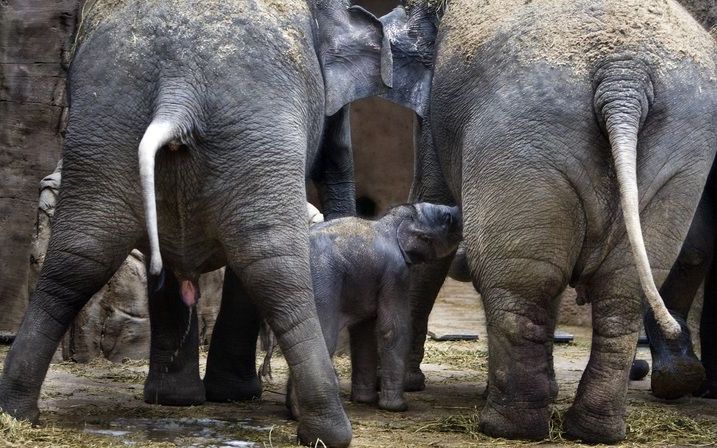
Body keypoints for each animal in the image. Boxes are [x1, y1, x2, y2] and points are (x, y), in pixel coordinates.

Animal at [0, 0, 398, 444]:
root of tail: (178, 94)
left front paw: (177, 399)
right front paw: (228, 395)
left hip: (101, 135)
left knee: (75, 262)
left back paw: (16, 413)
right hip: (251, 136)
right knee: (271, 267)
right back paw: (327, 432)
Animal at [306, 205, 458, 412]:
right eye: (447, 218)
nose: (457, 210)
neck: (390, 222)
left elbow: (364, 332)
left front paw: (364, 401)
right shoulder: (396, 273)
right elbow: (392, 329)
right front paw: (397, 408)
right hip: (323, 281)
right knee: (323, 336)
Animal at [398, 0, 716, 442]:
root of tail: (624, 80)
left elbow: (432, 210)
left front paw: (409, 384)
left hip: (523, 139)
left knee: (523, 284)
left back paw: (508, 428)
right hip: (681, 155)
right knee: (621, 292)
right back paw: (594, 431)